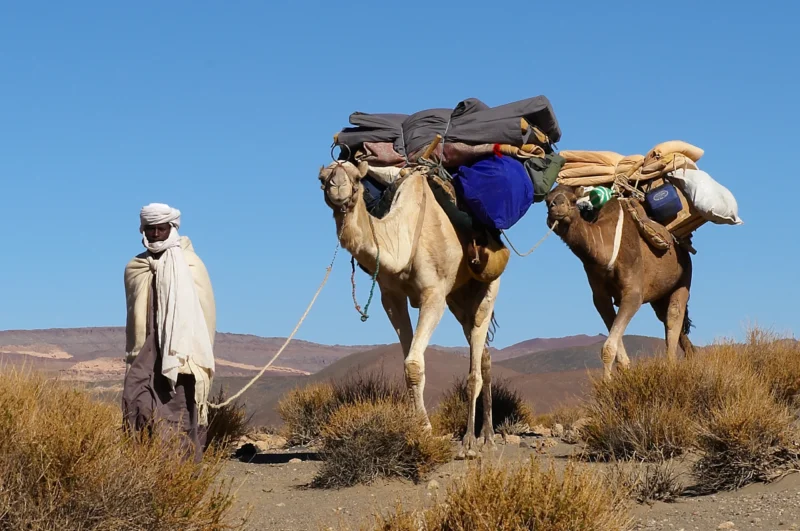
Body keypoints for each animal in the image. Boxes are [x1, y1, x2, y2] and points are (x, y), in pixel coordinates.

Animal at [318, 160, 502, 457]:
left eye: (356, 178)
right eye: (322, 179)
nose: (337, 187)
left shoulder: (434, 294)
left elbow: (414, 363)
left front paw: (426, 429)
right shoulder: (391, 297)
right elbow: (408, 364)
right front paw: (417, 427)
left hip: (488, 284)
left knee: (475, 360)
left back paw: (470, 441)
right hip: (458, 298)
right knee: (483, 353)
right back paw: (486, 434)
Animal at [545, 184, 695, 380]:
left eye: (573, 199)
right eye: (547, 201)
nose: (557, 207)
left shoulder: (633, 292)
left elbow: (608, 346)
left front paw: (607, 384)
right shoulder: (600, 297)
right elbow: (612, 338)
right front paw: (624, 370)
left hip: (684, 277)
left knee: (673, 315)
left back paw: (671, 367)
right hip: (659, 295)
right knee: (666, 318)